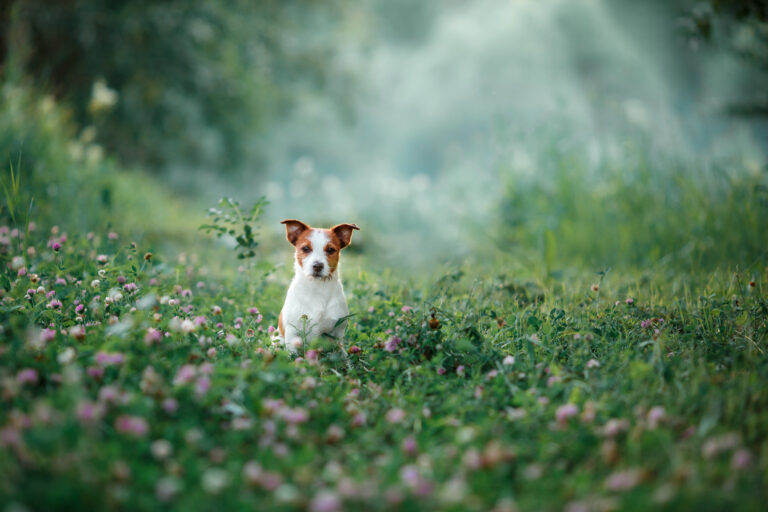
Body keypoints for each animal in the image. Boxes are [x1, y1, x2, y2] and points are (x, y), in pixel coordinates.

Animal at [278, 218, 358, 350]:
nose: (317, 266)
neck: (317, 287)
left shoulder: (337, 333)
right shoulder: (292, 334)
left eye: (330, 250)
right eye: (305, 248)